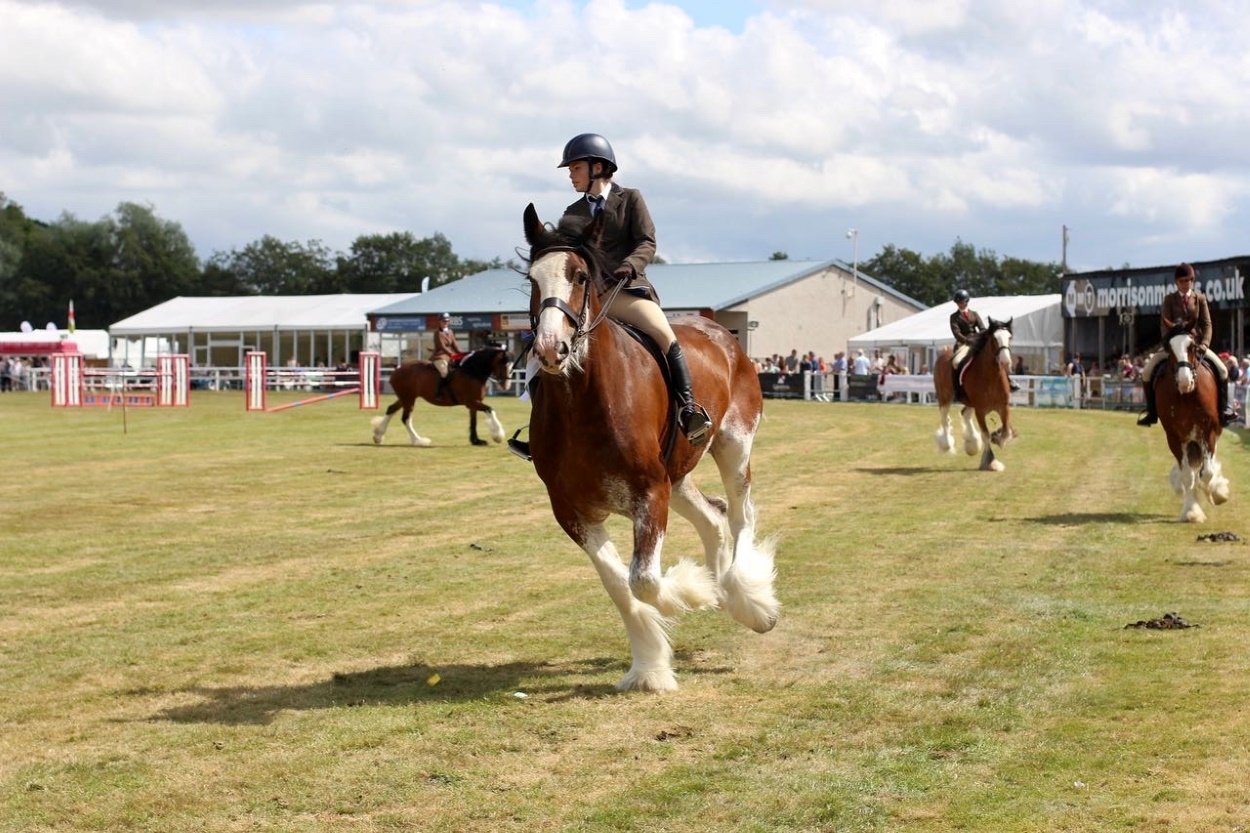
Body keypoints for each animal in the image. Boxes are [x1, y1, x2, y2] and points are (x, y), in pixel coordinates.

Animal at [367, 345, 510, 447]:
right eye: (503, 364)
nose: (506, 385)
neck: (471, 372)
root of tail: (397, 369)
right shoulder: (471, 402)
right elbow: (490, 410)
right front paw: (498, 435)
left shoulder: (474, 403)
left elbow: (473, 422)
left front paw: (476, 441)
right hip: (409, 399)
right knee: (405, 418)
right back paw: (419, 441)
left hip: (405, 398)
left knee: (391, 409)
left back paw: (378, 436)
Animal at [520, 203, 775, 690]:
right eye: (532, 279)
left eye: (580, 276)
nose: (550, 348)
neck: (582, 403)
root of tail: (724, 334)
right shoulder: (571, 510)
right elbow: (619, 585)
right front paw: (649, 666)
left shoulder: (649, 493)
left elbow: (643, 580)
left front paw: (690, 593)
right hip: (678, 476)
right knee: (713, 520)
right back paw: (723, 590)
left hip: (733, 446)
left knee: (740, 515)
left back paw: (749, 602)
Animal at [935, 317, 1020, 470]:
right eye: (994, 339)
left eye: (1009, 337)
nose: (1005, 362)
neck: (991, 376)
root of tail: (943, 353)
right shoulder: (980, 410)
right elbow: (985, 435)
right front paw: (991, 461)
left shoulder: (1004, 407)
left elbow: (1006, 431)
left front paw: (997, 437)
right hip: (944, 397)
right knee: (945, 419)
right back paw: (947, 445)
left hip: (970, 402)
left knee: (965, 414)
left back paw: (971, 444)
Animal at [1150, 322, 1230, 520]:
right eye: (1169, 348)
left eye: (1192, 346)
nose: (1184, 381)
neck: (1187, 395)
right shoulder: (1175, 436)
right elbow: (1188, 476)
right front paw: (1191, 511)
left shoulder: (1209, 431)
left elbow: (1207, 473)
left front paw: (1216, 493)